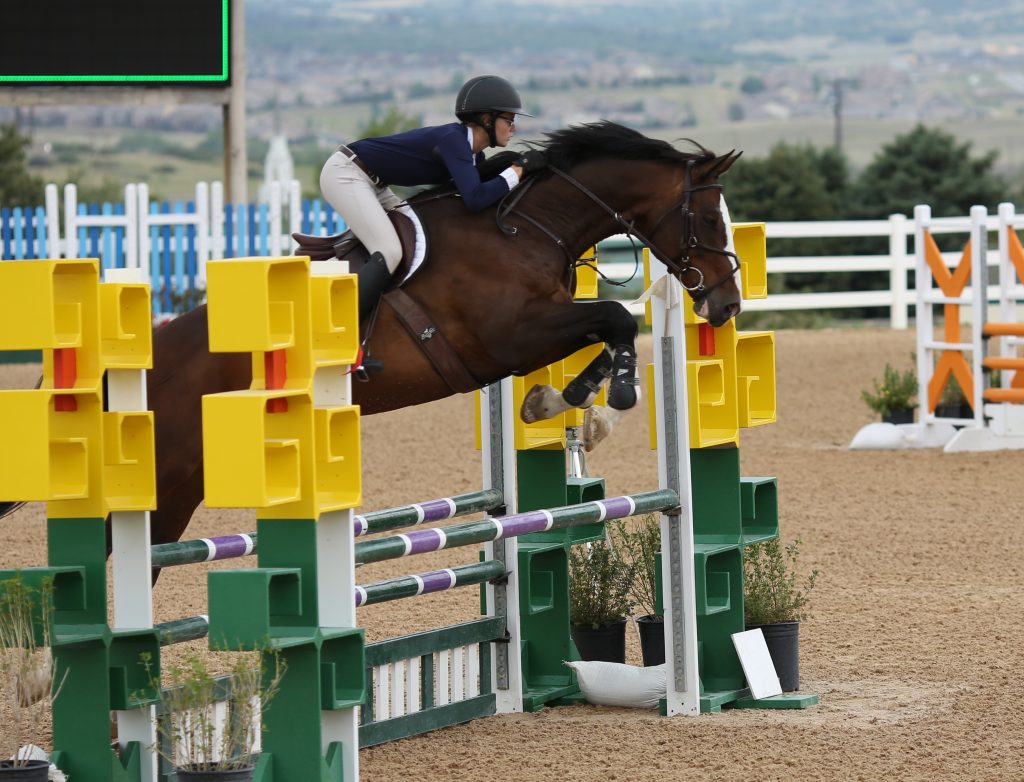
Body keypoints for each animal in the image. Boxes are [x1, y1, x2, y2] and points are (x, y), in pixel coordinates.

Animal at [0, 121, 742, 558]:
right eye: (709, 217)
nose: (727, 304)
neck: (522, 227)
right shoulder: (507, 336)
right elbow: (613, 318)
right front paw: (611, 394)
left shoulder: (532, 331)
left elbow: (604, 328)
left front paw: (566, 403)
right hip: (162, 477)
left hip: (182, 486)